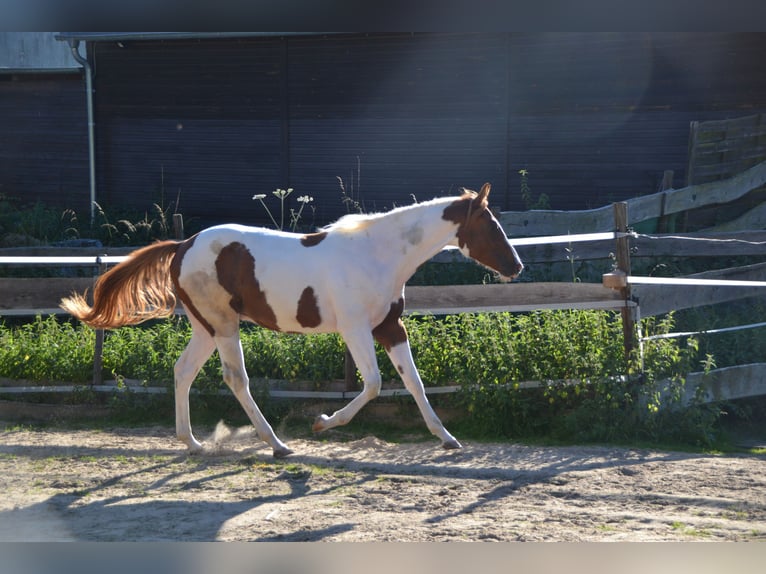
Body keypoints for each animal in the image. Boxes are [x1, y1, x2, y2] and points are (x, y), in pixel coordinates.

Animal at [61, 183, 523, 458]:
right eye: (491, 226)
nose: (516, 267)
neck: (378, 254)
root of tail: (183, 245)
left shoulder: (390, 328)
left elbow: (414, 382)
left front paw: (447, 438)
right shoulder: (356, 329)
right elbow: (374, 384)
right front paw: (322, 423)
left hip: (205, 328)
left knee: (182, 371)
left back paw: (191, 442)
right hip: (224, 325)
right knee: (236, 379)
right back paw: (277, 444)